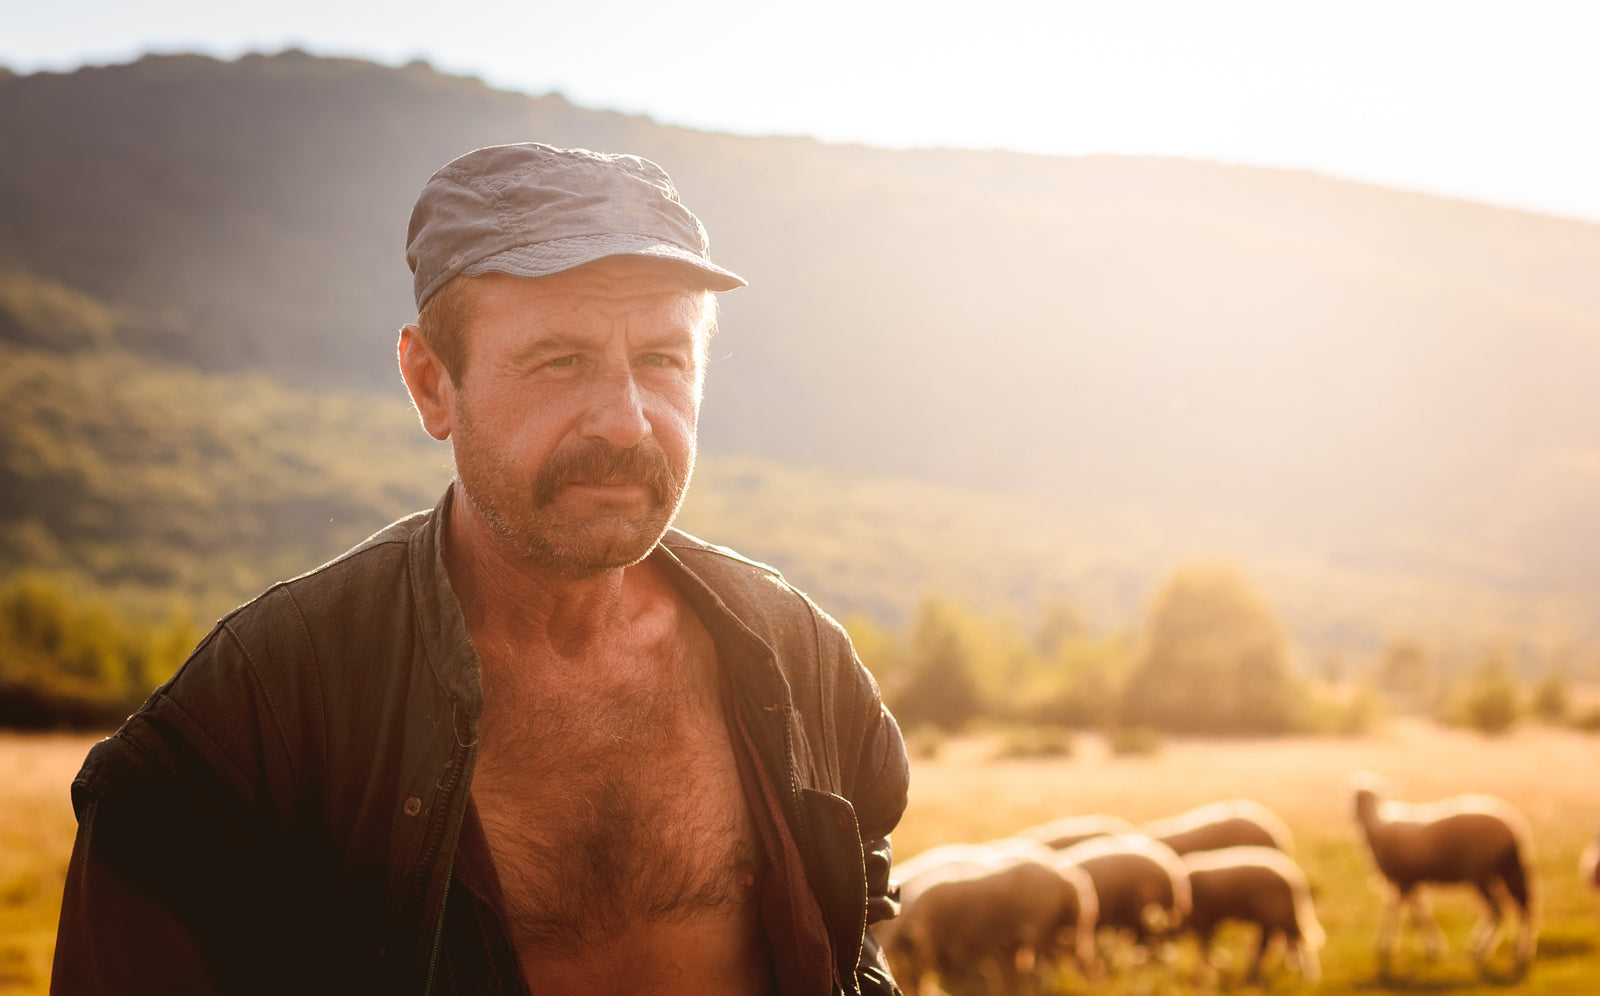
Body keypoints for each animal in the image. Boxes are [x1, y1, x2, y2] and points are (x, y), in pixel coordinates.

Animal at [1177, 845, 1324, 986]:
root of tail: (1296, 880)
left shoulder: (1206, 919)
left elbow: (1204, 950)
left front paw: (1203, 976)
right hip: (1279, 916)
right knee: (1285, 944)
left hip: (1278, 914)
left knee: (1296, 944)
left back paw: (1306, 977)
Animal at [1350, 778, 1536, 979]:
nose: (1353, 815)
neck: (1377, 825)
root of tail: (1515, 828)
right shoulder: (1410, 882)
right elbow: (1420, 914)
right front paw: (1433, 949)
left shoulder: (1403, 880)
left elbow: (1396, 913)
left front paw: (1385, 948)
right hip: (1505, 870)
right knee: (1521, 909)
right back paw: (1515, 953)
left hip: (1482, 873)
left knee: (1501, 910)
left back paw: (1488, 952)